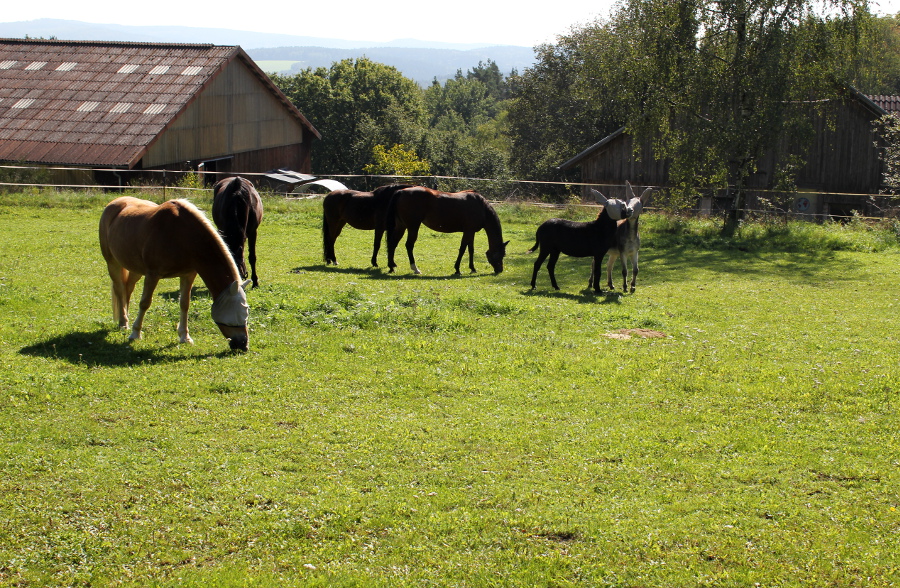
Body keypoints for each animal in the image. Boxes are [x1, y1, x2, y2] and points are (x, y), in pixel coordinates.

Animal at [99, 198, 251, 352]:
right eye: (234, 313)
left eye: (246, 311)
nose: (243, 344)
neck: (181, 234)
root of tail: (116, 202)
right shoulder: (152, 274)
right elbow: (145, 303)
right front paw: (135, 334)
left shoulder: (188, 274)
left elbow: (184, 304)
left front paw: (185, 337)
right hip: (112, 263)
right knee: (119, 289)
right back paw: (123, 322)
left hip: (135, 269)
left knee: (128, 288)